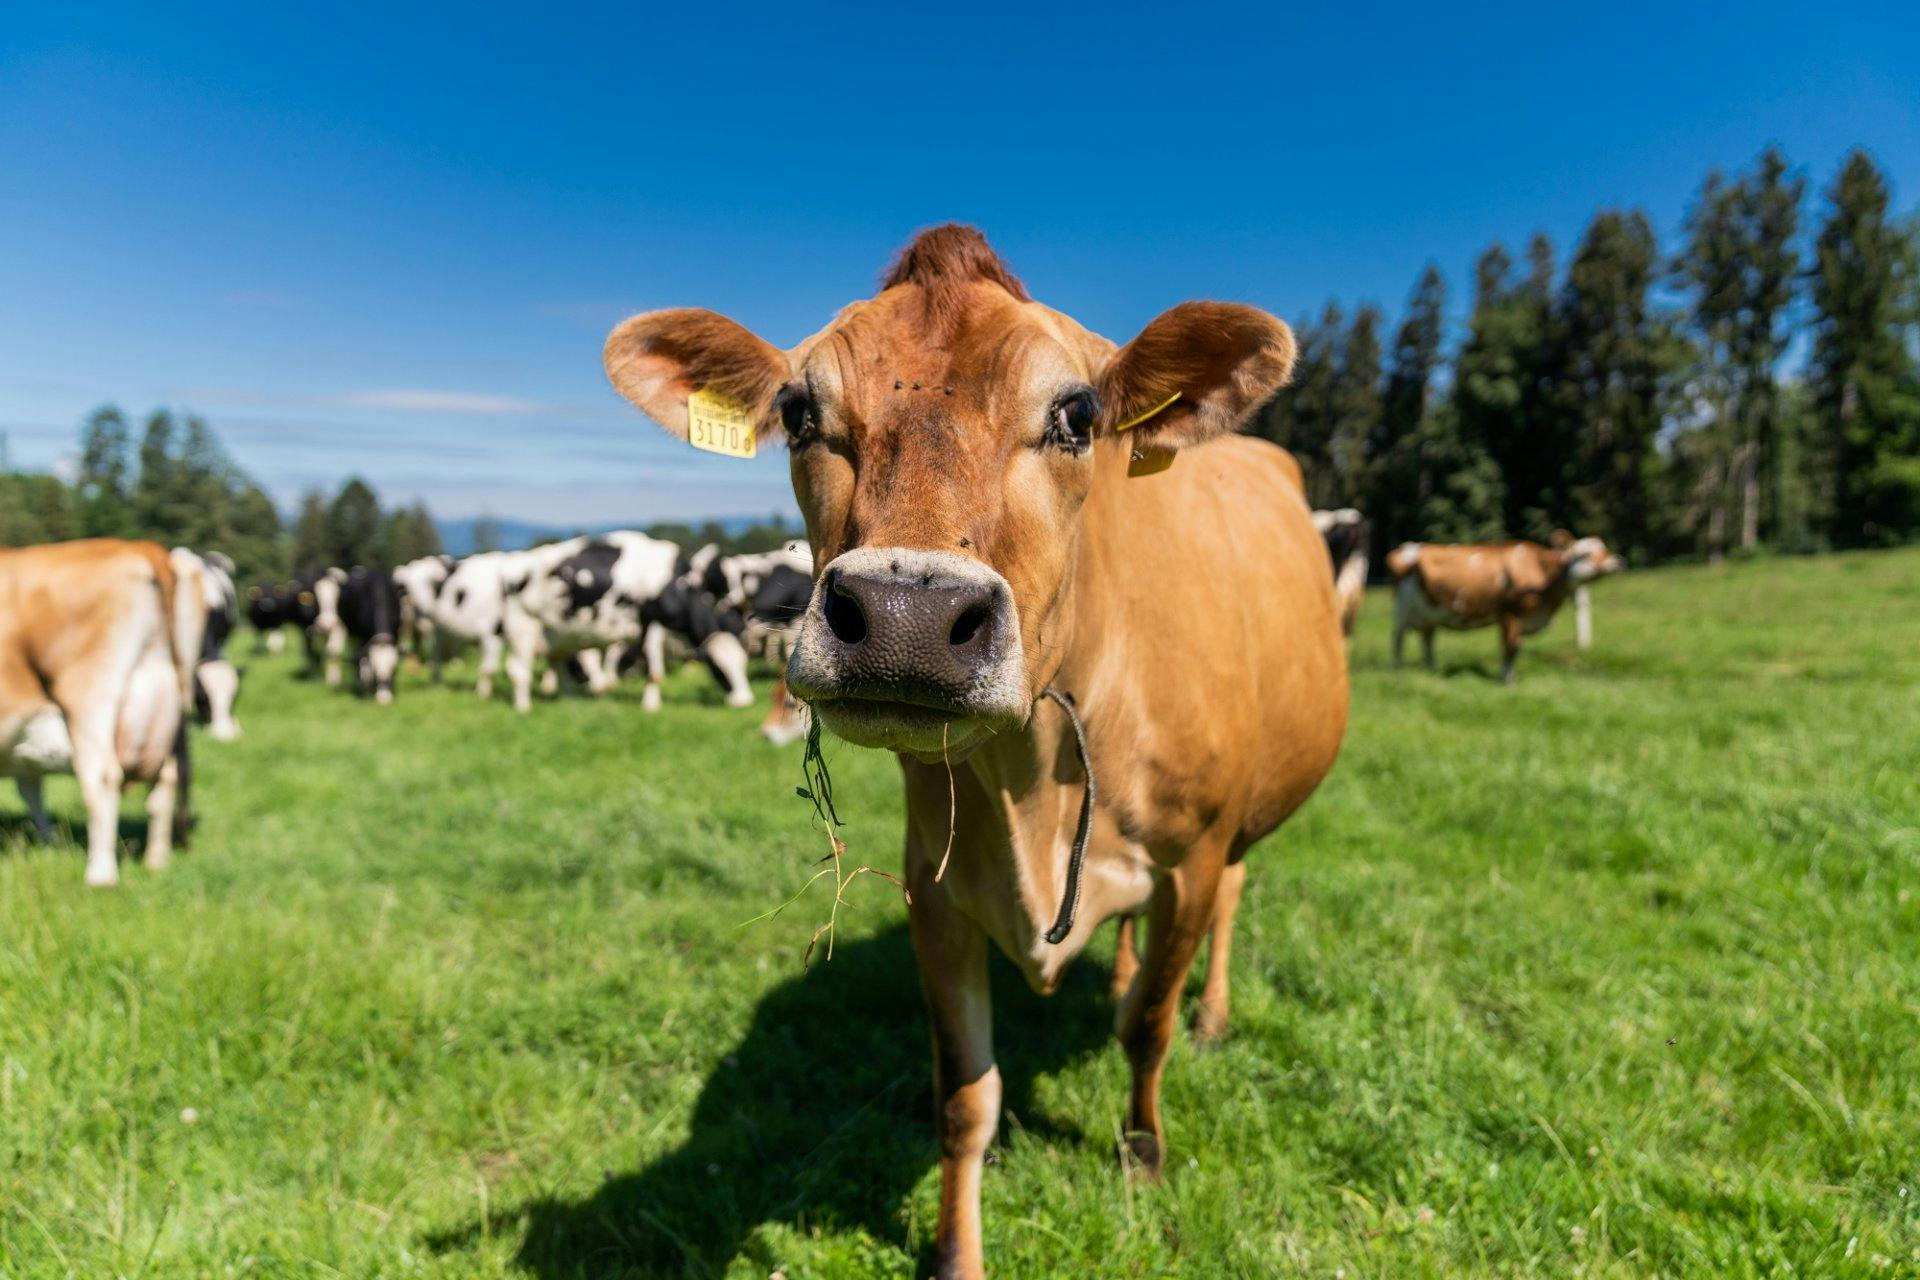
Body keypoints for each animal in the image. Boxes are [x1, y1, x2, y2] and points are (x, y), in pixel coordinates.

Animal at [1, 539, 194, 887]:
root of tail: (139, 548)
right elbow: (31, 789)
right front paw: (49, 842)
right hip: (162, 702)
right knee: (166, 778)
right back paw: (156, 861)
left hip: (90, 694)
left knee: (102, 776)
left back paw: (100, 875)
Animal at [604, 223, 1348, 1276]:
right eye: (797, 410)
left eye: (1077, 413)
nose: (905, 618)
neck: (1031, 783)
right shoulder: (935, 884)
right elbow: (966, 1094)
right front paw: (957, 1249)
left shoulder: (1192, 857)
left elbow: (1147, 1028)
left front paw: (1144, 1152)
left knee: (1227, 914)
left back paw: (1210, 1015)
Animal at [1386, 531, 1626, 683]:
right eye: (1584, 554)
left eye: (1604, 549)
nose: (1618, 560)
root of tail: (1404, 548)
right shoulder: (1510, 615)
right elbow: (1510, 649)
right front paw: (1506, 680)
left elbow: (1514, 648)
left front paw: (1511, 677)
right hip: (1402, 610)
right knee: (1398, 639)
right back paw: (1398, 670)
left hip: (1428, 613)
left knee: (1427, 640)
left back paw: (1432, 669)